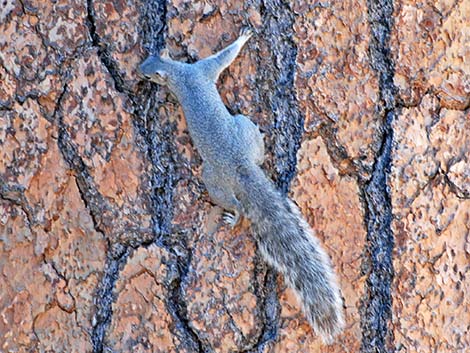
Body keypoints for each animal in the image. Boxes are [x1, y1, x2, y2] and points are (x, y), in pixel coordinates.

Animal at [138, 28, 344, 342]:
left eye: (150, 74)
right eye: (148, 58)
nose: (139, 70)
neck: (179, 73)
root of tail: (241, 165)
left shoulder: (201, 70)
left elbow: (224, 57)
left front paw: (242, 38)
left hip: (213, 177)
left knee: (237, 205)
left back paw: (233, 216)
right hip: (238, 141)